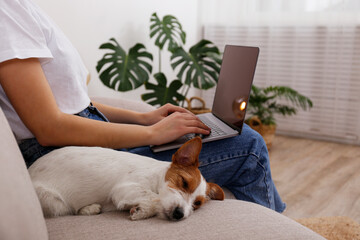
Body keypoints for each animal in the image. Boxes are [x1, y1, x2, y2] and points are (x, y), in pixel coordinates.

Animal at [28, 137, 225, 221]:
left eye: (197, 204)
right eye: (184, 182)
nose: (179, 214)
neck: (156, 177)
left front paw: (140, 211)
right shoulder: (124, 188)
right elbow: (154, 198)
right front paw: (145, 210)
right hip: (53, 202)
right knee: (66, 210)